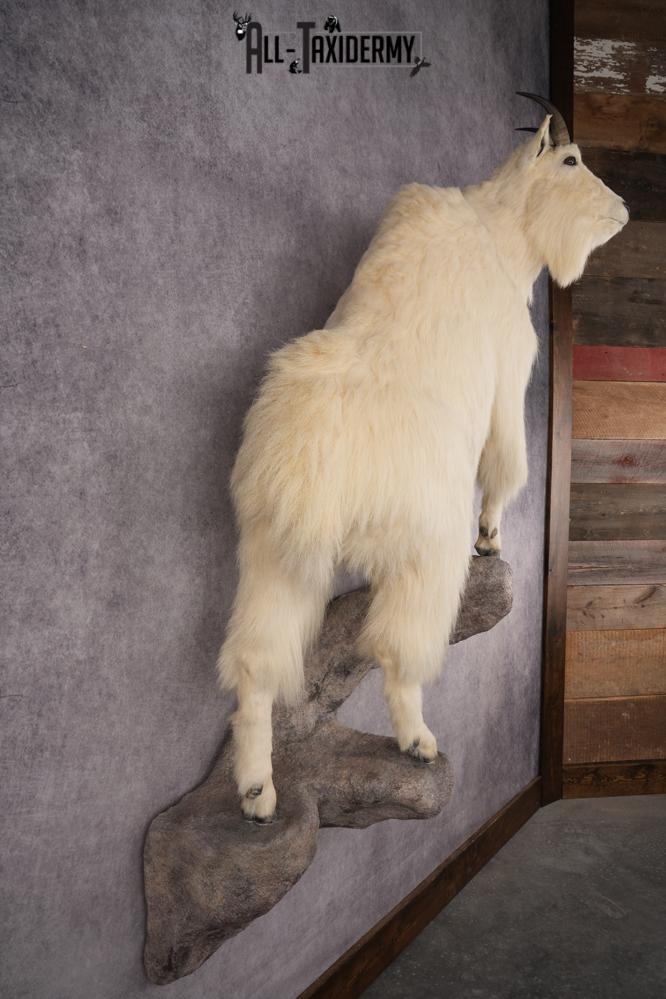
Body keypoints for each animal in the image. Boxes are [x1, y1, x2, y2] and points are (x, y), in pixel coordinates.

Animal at [218, 94, 628, 821]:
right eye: (571, 160)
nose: (622, 210)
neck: (501, 229)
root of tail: (311, 467)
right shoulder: (511, 368)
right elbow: (507, 465)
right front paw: (491, 538)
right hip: (423, 548)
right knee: (397, 649)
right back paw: (417, 742)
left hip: (271, 553)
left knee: (255, 662)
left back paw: (258, 792)